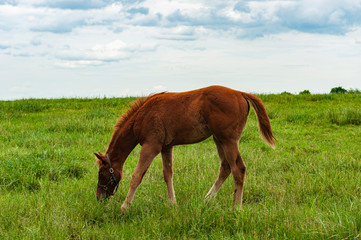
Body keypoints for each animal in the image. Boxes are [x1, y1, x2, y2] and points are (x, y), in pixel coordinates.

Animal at [94, 85, 274, 212]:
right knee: (225, 167)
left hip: (229, 140)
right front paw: (172, 203)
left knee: (238, 169)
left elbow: (137, 176)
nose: (99, 198)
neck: (142, 116)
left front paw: (125, 207)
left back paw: (236, 207)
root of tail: (240, 93)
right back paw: (207, 199)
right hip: (219, 139)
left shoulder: (151, 146)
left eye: (102, 173)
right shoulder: (166, 147)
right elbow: (167, 174)